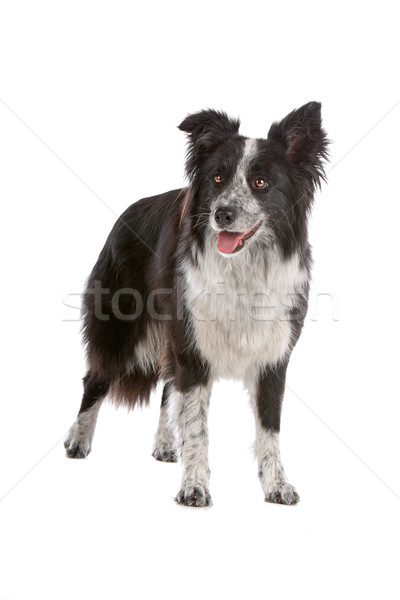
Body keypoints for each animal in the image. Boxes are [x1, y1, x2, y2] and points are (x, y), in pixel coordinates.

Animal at [65, 102, 328, 506]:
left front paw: (276, 485)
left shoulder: (273, 355)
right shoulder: (193, 348)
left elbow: (269, 426)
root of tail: (126, 213)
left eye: (261, 183)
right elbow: (196, 425)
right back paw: (78, 440)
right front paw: (194, 487)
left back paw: (163, 443)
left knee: (166, 387)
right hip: (122, 329)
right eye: (218, 178)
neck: (244, 267)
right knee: (95, 378)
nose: (222, 214)